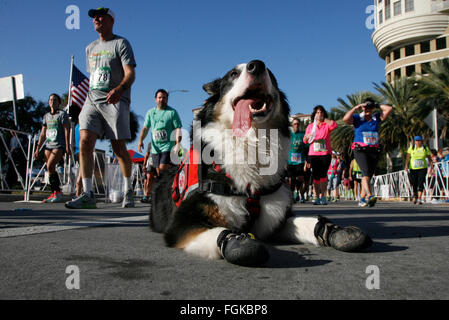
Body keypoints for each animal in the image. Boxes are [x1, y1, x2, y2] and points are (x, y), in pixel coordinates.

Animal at [149, 60, 370, 268]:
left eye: (271, 74)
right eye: (233, 74)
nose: (257, 65)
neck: (251, 141)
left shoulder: (275, 218)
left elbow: (306, 222)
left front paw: (333, 231)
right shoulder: (181, 224)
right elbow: (220, 230)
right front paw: (237, 242)